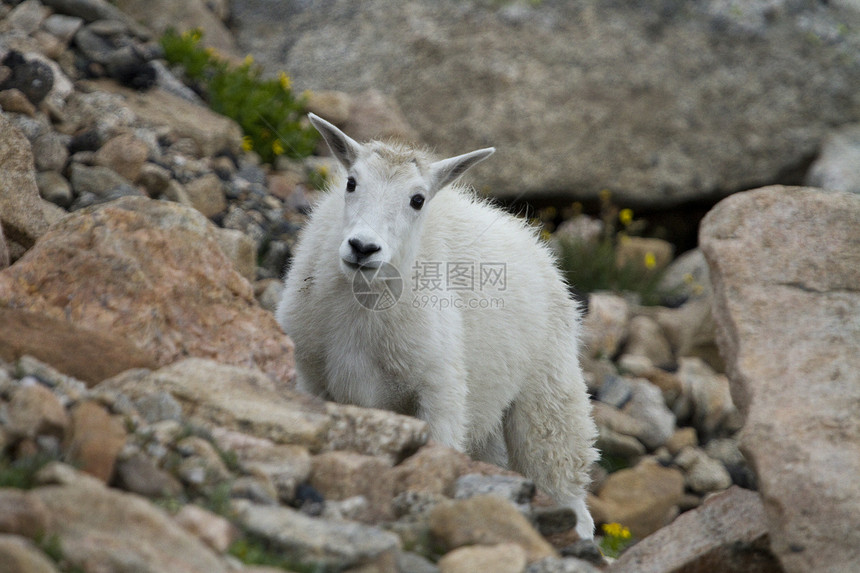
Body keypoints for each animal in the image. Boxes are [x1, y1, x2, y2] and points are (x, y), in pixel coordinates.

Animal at [278, 115, 596, 536]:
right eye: (352, 182)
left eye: (418, 199)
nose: (363, 248)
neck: (363, 307)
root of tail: (540, 249)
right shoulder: (312, 376)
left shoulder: (440, 391)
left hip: (549, 403)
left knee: (569, 492)